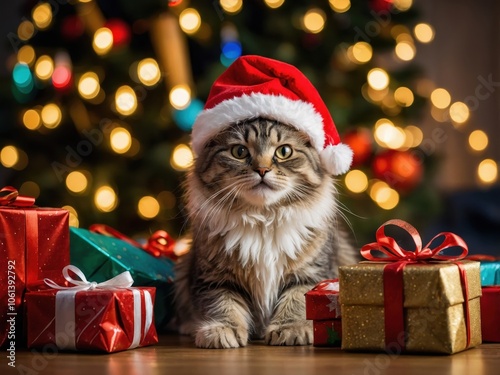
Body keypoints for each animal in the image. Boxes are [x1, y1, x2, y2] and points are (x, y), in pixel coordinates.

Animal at [174, 117, 358, 350]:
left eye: (284, 151)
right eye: (240, 151)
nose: (262, 170)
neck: (263, 220)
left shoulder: (310, 273)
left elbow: (297, 300)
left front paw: (291, 328)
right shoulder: (214, 277)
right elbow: (222, 304)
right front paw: (222, 330)